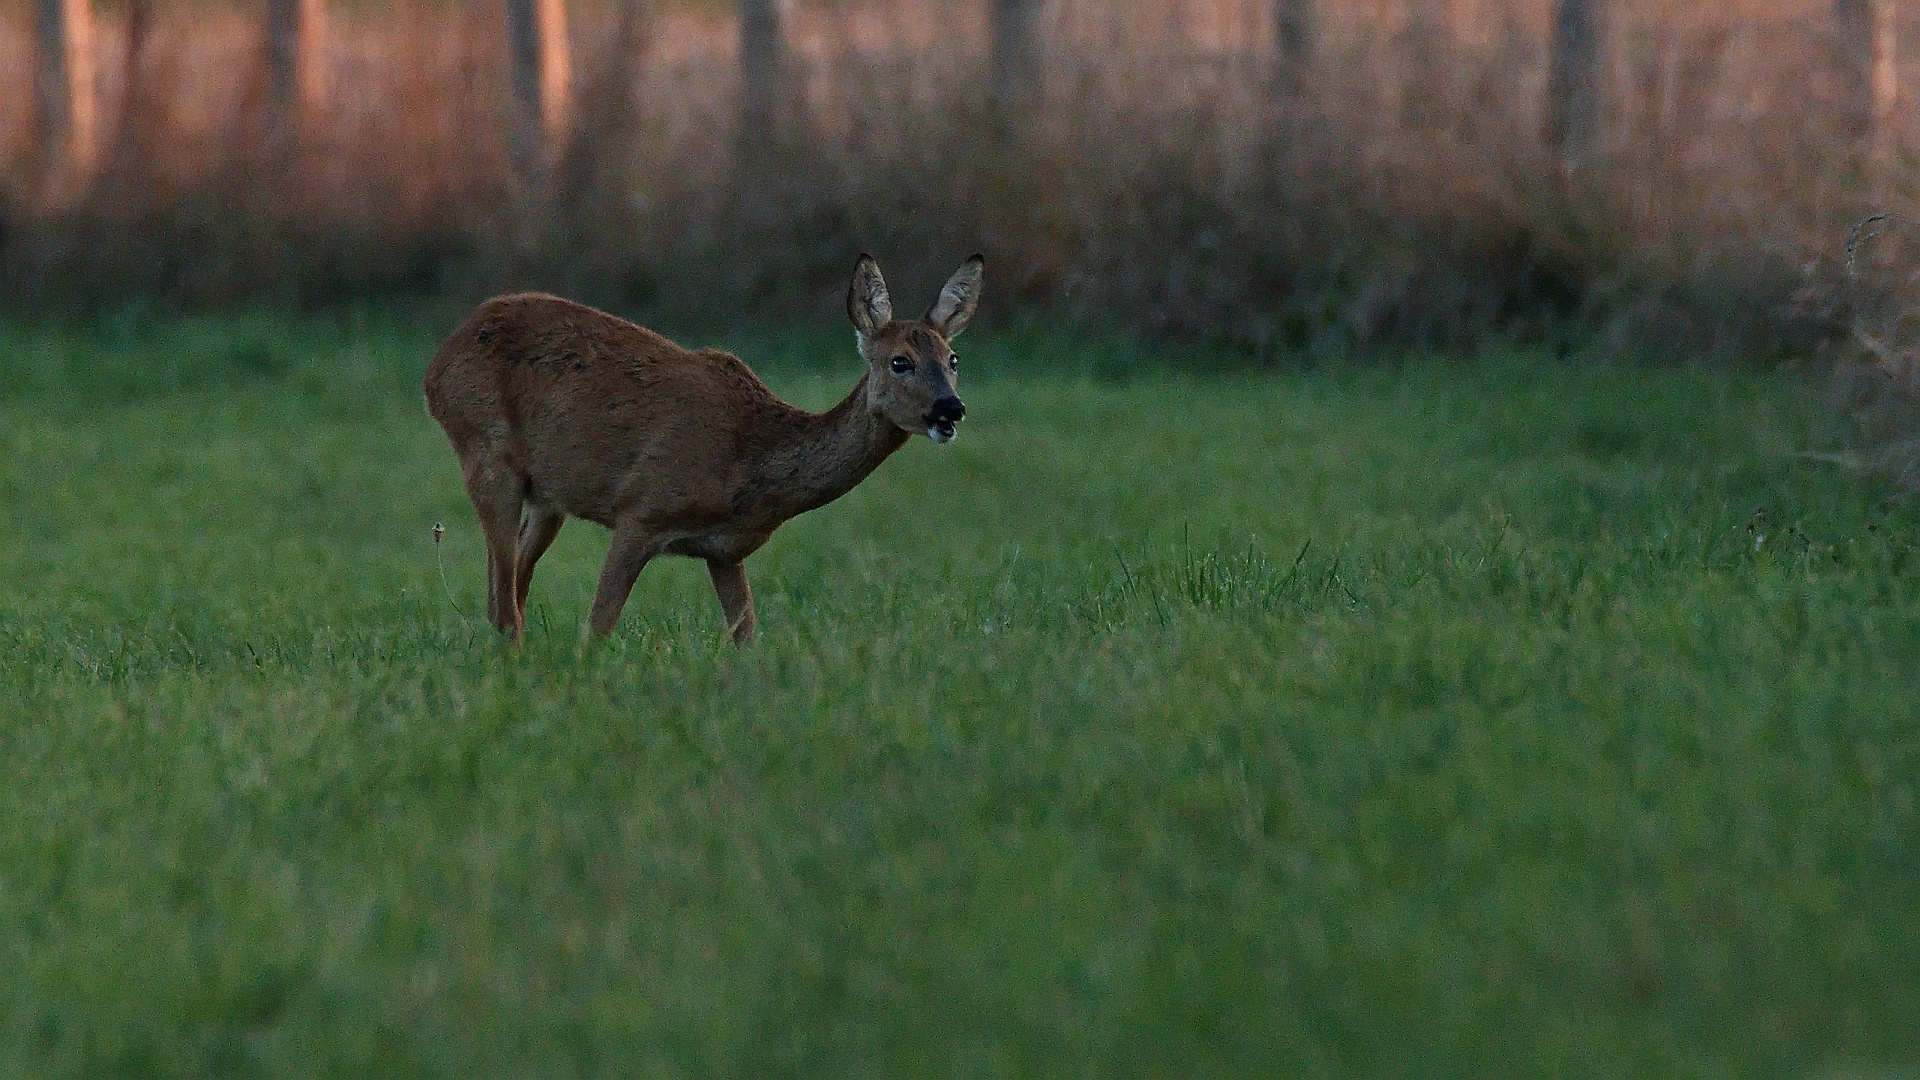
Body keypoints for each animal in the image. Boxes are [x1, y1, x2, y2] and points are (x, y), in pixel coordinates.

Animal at [426, 253, 983, 641]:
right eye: (899, 361)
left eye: (953, 359)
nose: (950, 409)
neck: (752, 464)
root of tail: (439, 361)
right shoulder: (641, 510)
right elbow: (597, 627)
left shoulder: (725, 551)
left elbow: (747, 637)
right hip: (484, 452)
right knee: (505, 602)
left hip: (548, 496)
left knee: (510, 585)